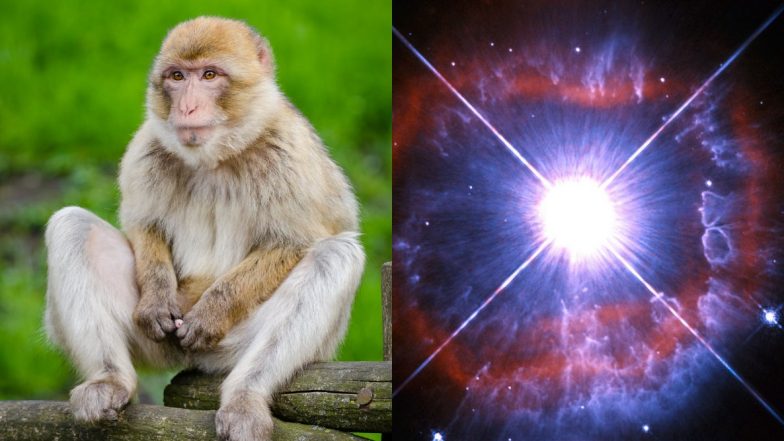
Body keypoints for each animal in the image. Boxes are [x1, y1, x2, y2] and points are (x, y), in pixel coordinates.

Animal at [43, 17, 365, 441]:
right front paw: (155, 300)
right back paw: (109, 381)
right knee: (71, 226)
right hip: (152, 344)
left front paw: (212, 312)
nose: (187, 106)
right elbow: (144, 225)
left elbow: (294, 242)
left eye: (210, 75)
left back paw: (244, 398)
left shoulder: (289, 154)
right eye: (177, 76)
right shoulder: (147, 146)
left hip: (231, 347)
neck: (218, 156)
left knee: (336, 254)